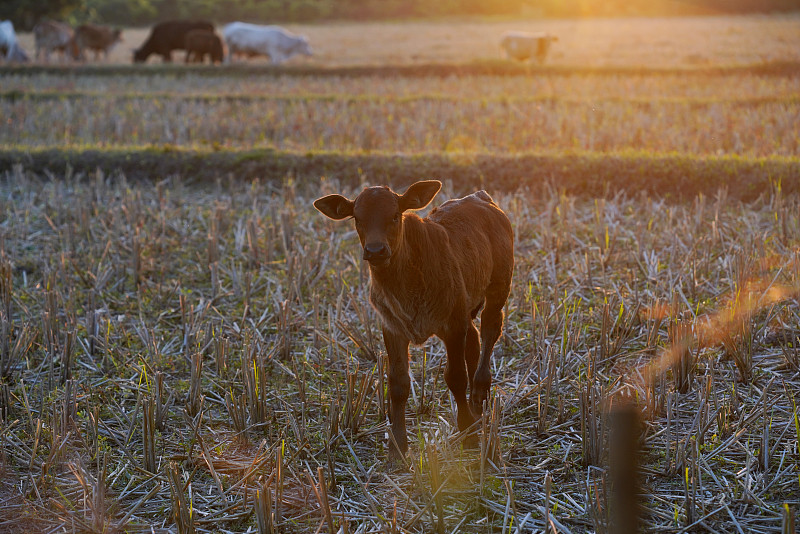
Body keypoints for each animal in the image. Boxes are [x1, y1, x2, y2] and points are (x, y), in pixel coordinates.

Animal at [316, 182, 516, 462]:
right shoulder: (392, 326)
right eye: (357, 218)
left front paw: (468, 434)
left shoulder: (453, 323)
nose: (376, 250)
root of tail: (479, 197)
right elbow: (398, 384)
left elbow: (455, 377)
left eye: (394, 215)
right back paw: (478, 406)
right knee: (475, 338)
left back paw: (480, 389)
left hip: (500, 283)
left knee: (490, 328)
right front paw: (398, 447)